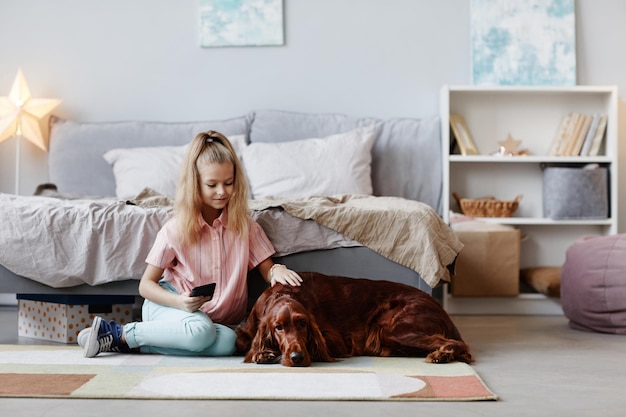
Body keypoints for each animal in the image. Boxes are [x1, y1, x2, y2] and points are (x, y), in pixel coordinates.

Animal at [236, 272, 470, 366]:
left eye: (303, 324)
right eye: (278, 328)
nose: (297, 358)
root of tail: (440, 309)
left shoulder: (337, 341)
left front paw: (266, 353)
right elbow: (241, 341)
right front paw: (261, 353)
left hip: (391, 329)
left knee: (458, 344)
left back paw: (442, 355)